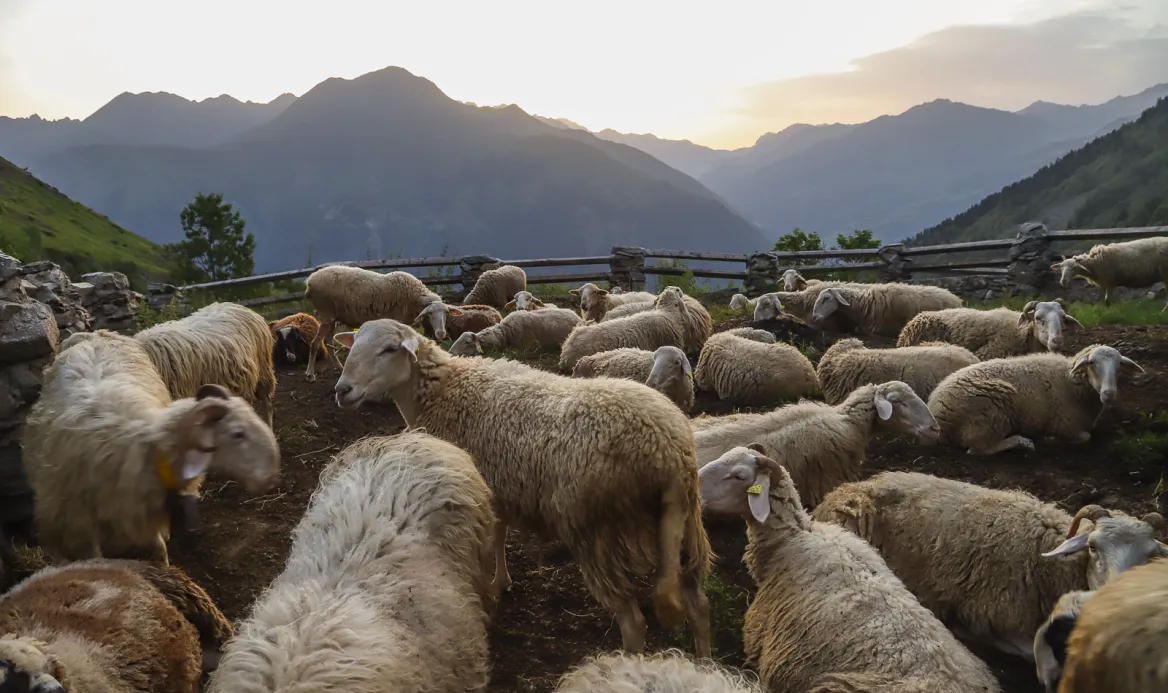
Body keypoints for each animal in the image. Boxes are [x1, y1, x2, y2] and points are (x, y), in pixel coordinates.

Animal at [21, 329, 280, 565]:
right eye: (238, 434)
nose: (271, 477)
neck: (147, 449)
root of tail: (92, 334)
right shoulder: (78, 523)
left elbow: (158, 549)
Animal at [302, 264, 446, 380]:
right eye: (430, 313)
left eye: (445, 313)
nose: (441, 334)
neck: (413, 298)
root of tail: (310, 281)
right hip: (325, 312)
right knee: (315, 343)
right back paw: (310, 374)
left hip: (332, 317)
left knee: (328, 342)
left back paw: (339, 368)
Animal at [331, 320, 713, 656]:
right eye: (355, 345)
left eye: (389, 348)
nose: (342, 390)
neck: (443, 390)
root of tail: (667, 450)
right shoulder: (496, 486)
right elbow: (500, 533)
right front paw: (501, 581)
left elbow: (488, 542)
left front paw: (488, 589)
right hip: (684, 529)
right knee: (698, 607)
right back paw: (705, 663)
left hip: (598, 531)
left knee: (634, 623)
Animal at [927, 344, 1145, 454]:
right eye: (1092, 363)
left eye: (1119, 365)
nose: (1109, 393)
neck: (1071, 381)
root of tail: (936, 411)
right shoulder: (1066, 425)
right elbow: (1085, 437)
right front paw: (1050, 439)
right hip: (990, 414)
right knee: (977, 449)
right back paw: (1022, 442)